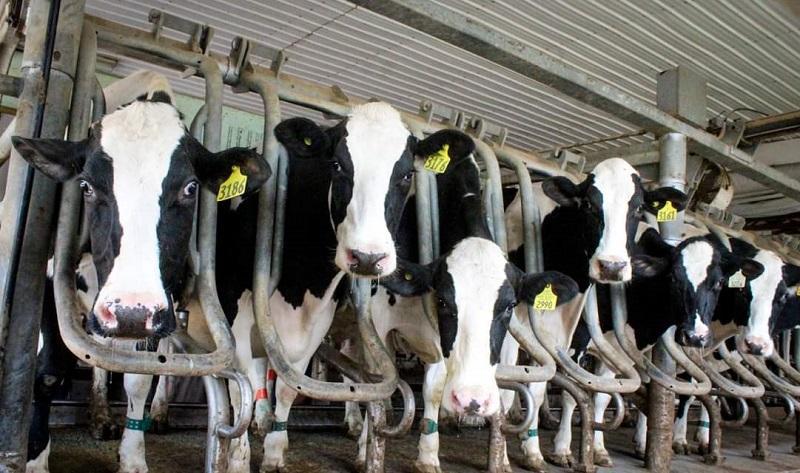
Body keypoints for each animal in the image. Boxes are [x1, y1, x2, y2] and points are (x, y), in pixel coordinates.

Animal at [14, 85, 270, 472]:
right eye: (86, 186)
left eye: (191, 188)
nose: (129, 312)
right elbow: (46, 367)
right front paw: (35, 456)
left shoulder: (161, 308)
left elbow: (140, 376)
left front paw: (133, 457)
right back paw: (100, 416)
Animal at [500, 159, 688, 472]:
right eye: (588, 204)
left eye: (638, 207)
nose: (612, 266)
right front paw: (504, 458)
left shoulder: (570, 335)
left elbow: (555, 390)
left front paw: (536, 452)